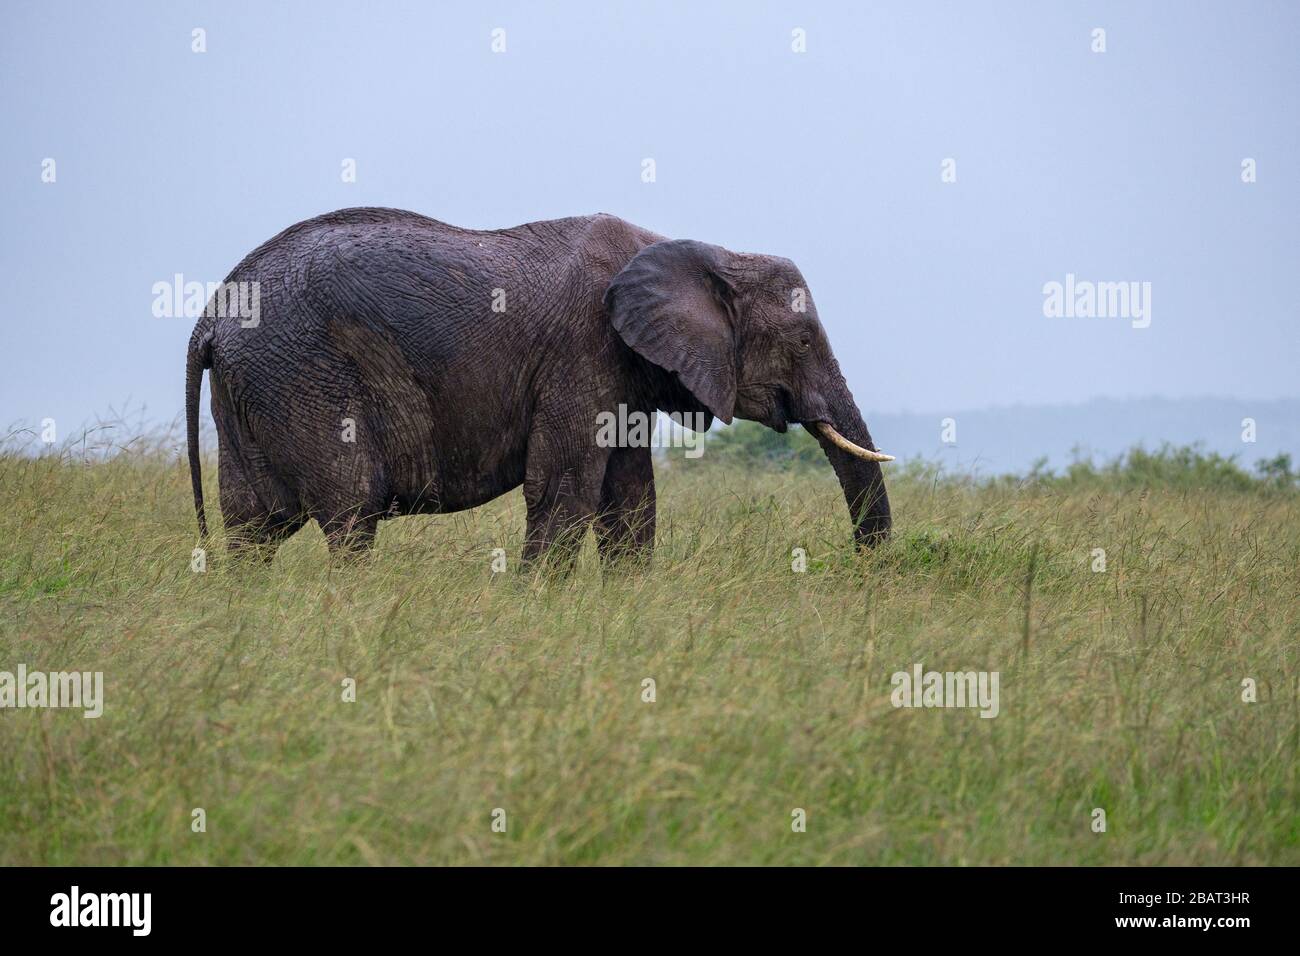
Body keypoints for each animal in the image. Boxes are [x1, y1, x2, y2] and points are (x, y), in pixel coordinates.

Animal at [185, 208, 894, 564]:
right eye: (803, 342)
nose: (864, 574)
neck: (698, 249)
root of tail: (210, 318)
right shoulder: (581, 354)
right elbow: (563, 494)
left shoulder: (618, 375)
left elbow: (630, 502)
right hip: (302, 374)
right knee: (353, 511)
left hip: (254, 387)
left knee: (254, 525)